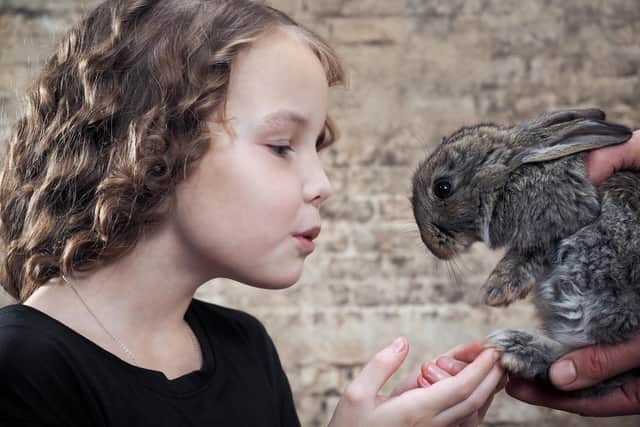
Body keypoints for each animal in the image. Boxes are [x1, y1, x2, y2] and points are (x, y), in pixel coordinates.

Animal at [411, 108, 640, 395]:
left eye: (442, 187)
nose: (432, 245)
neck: (509, 178)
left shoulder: (567, 217)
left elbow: (531, 253)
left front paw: (497, 289)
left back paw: (516, 348)